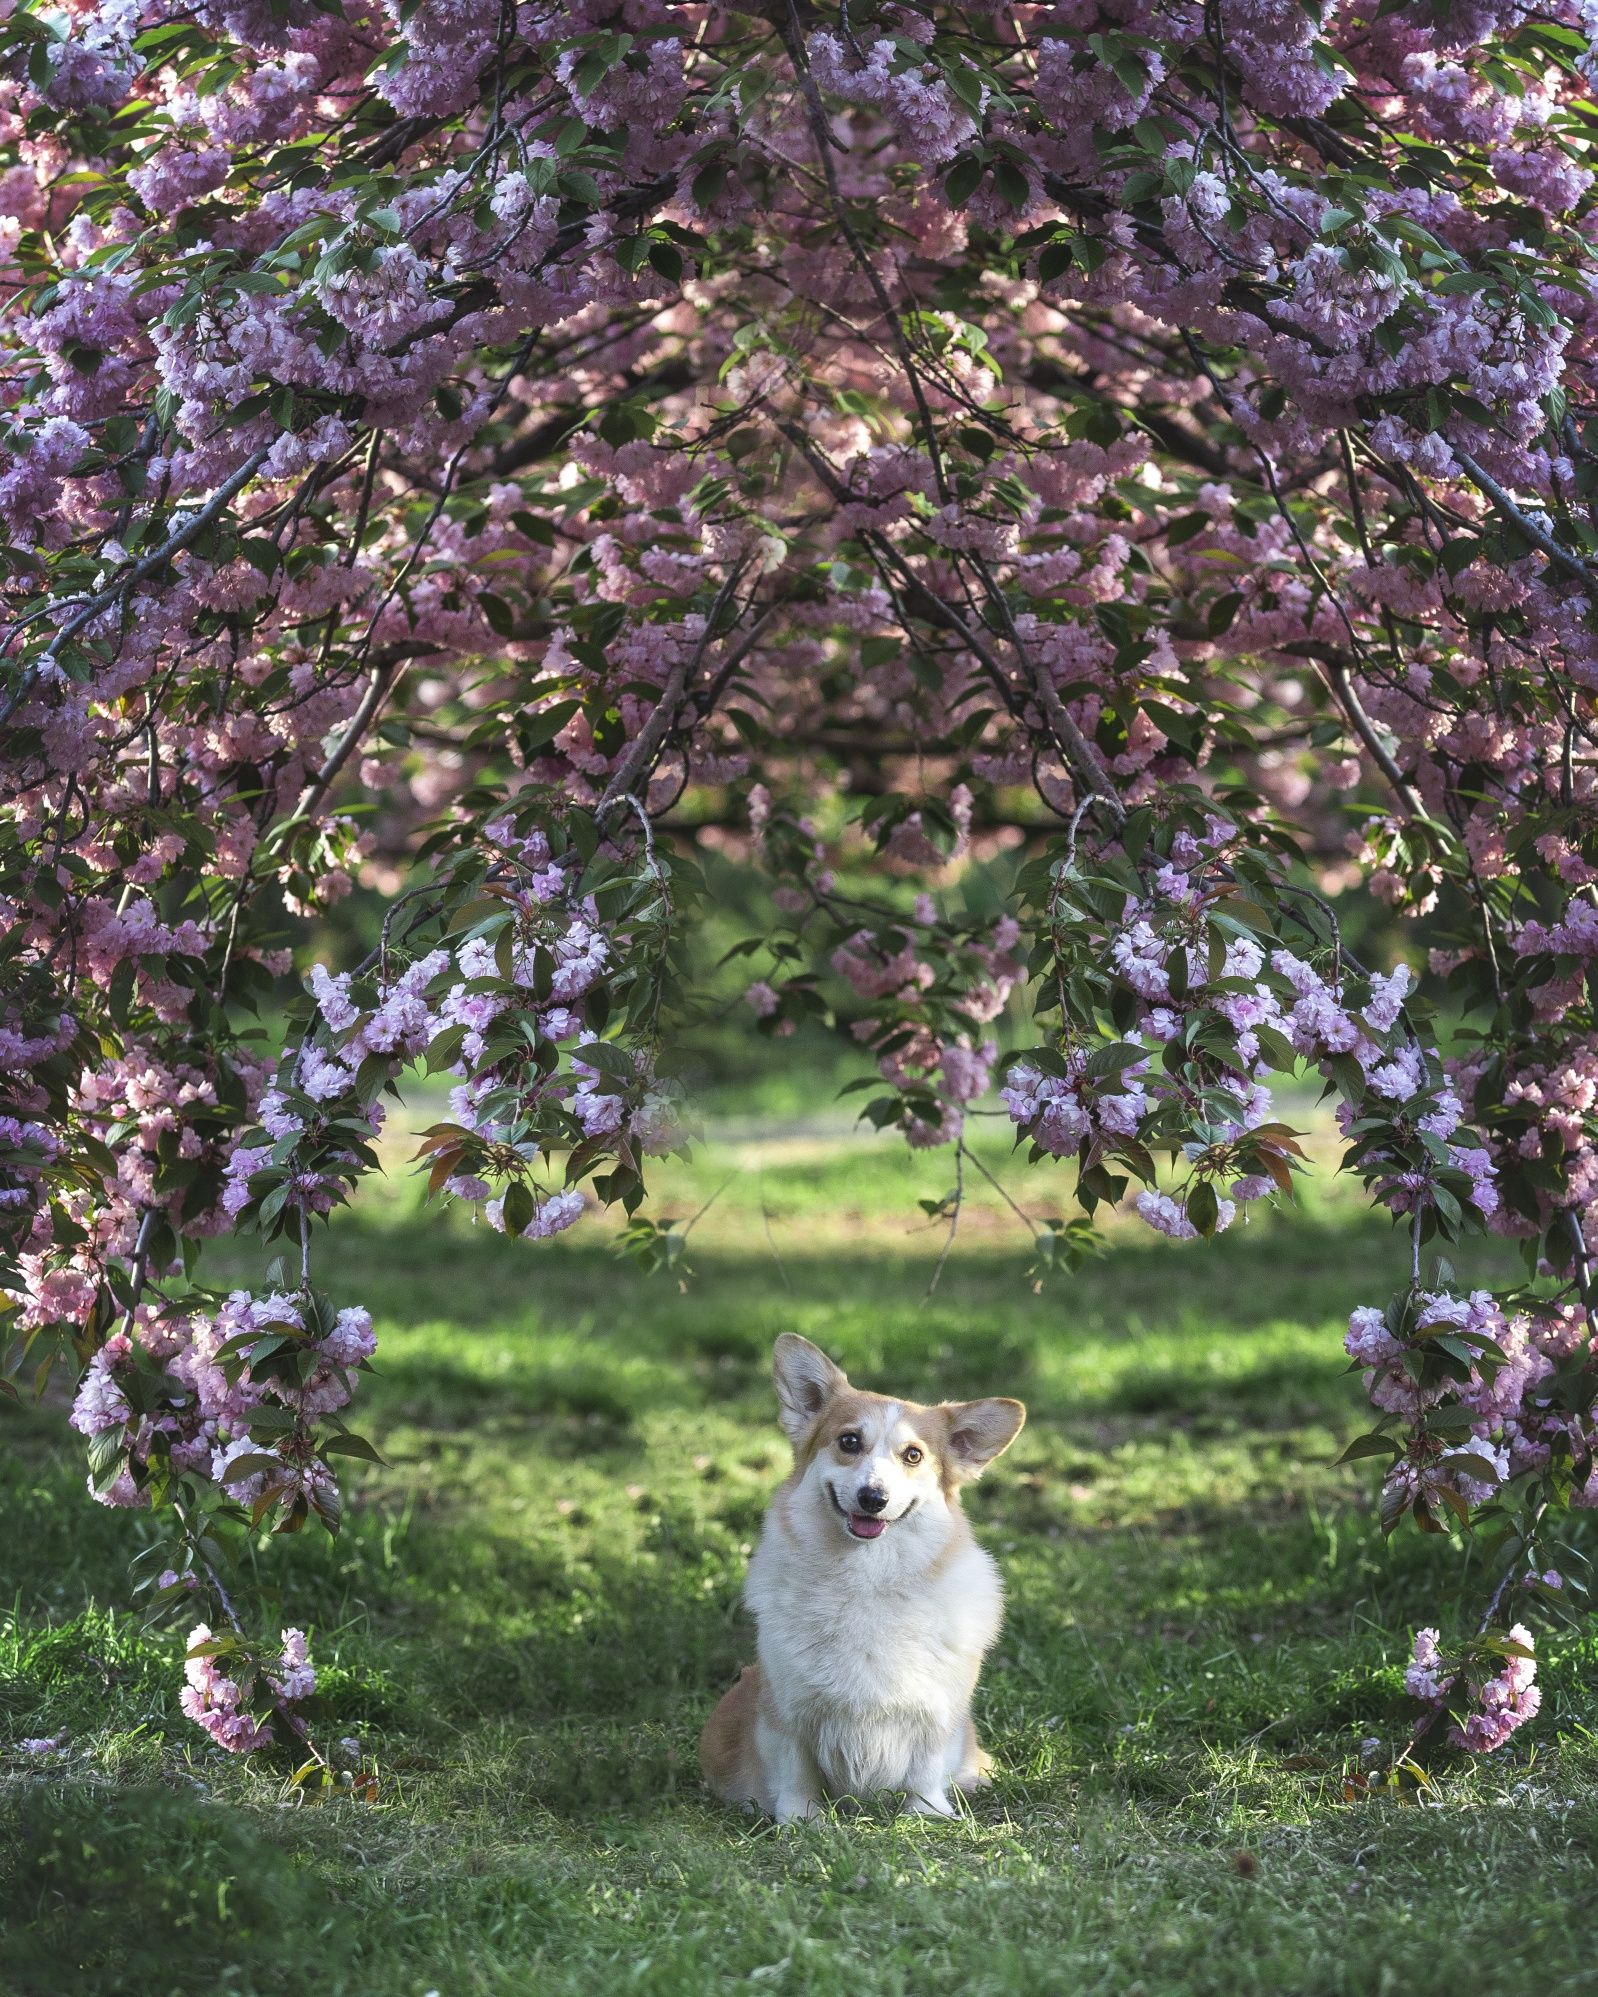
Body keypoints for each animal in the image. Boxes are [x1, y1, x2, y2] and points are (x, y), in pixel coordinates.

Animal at [699, 1333, 1022, 1821]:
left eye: (914, 1455)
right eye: (849, 1441)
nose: (874, 1498)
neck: (868, 1578)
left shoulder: (937, 1712)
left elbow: (925, 1769)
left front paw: (927, 1816)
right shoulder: (791, 1712)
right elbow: (798, 1771)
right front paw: (801, 1821)